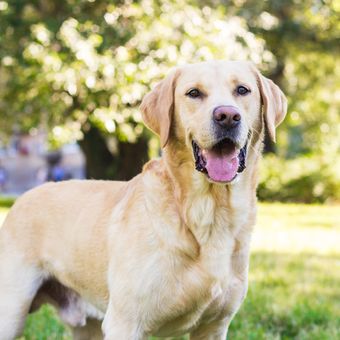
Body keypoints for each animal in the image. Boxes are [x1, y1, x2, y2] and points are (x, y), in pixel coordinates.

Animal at [0, 59, 286, 338]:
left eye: (243, 90)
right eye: (194, 93)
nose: (227, 116)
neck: (208, 212)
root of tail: (23, 198)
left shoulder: (214, 327)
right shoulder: (125, 323)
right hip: (11, 312)